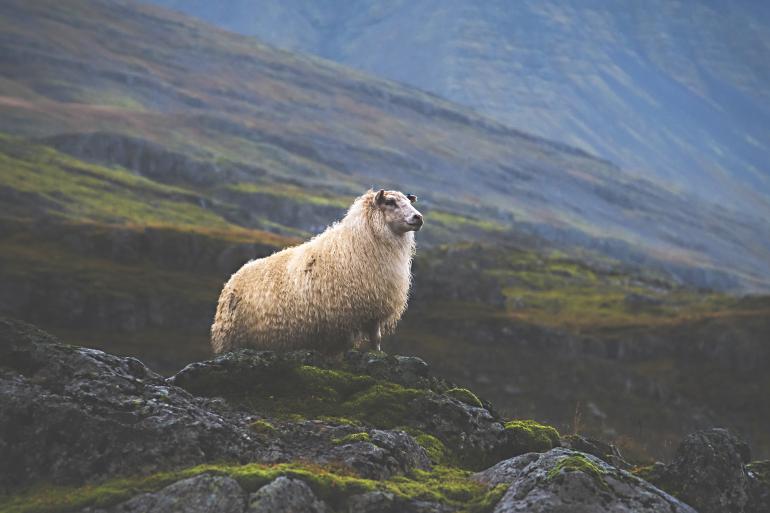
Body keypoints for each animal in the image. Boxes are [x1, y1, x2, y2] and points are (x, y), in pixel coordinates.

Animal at [210, 187, 424, 352]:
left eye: (408, 201)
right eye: (390, 202)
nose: (418, 217)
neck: (358, 243)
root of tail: (233, 277)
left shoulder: (375, 307)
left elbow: (376, 339)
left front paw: (377, 353)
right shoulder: (345, 312)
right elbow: (348, 344)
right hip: (230, 339)